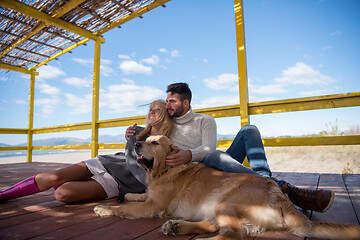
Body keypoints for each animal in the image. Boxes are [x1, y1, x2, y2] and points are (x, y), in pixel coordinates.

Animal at [93, 136, 360, 239]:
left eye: (155, 142)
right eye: (147, 140)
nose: (137, 143)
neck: (164, 170)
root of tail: (279, 194)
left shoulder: (153, 206)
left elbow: (125, 208)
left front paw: (105, 209)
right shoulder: (149, 199)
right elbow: (135, 196)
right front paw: (126, 194)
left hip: (226, 201)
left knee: (231, 234)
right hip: (216, 206)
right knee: (216, 226)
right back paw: (177, 226)